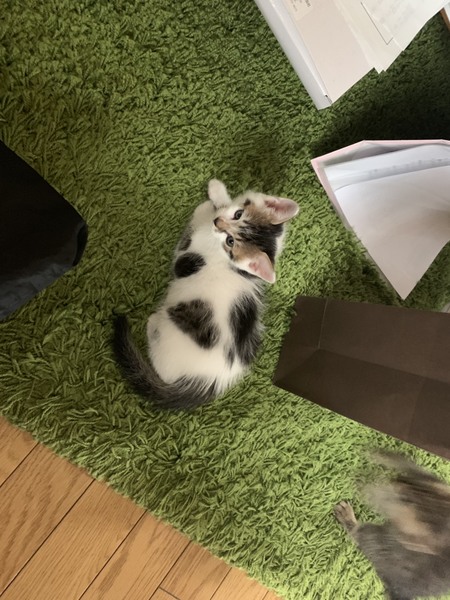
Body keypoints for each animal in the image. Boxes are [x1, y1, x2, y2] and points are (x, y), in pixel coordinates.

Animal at [113, 179, 299, 409]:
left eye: (230, 241)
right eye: (238, 214)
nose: (217, 222)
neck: (229, 261)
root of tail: (210, 382)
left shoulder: (184, 256)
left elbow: (190, 231)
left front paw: (205, 207)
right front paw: (218, 194)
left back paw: (153, 323)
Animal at [334, 451, 450, 600]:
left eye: (406, 499)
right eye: (410, 484)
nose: (396, 481)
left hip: (382, 544)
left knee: (364, 534)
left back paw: (349, 519)